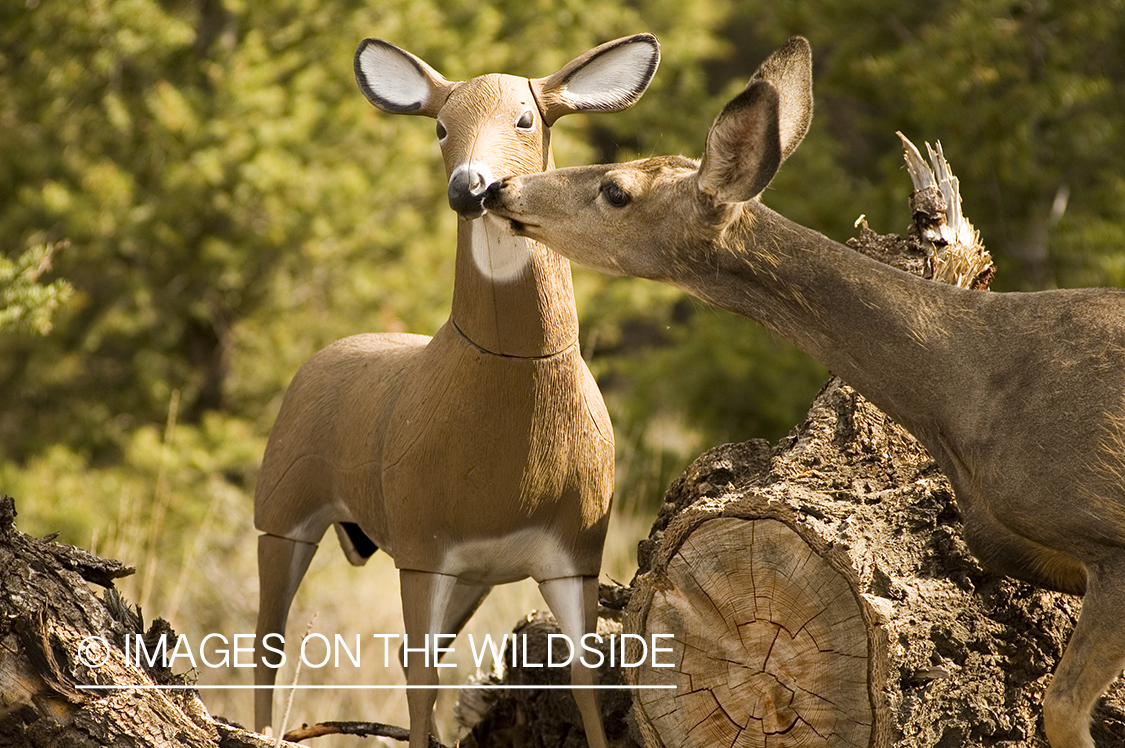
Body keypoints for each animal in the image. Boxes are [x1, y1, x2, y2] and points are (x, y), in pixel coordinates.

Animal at [252, 34, 660, 748]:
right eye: (441, 126)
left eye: (526, 119)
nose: (471, 186)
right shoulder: (421, 545)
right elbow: (422, 687)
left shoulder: (574, 553)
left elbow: (586, 683)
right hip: (281, 509)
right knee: (267, 646)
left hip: (470, 574)